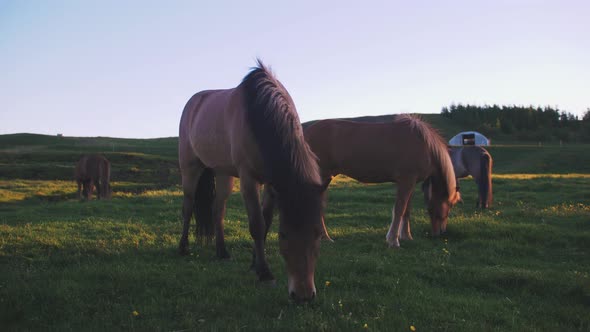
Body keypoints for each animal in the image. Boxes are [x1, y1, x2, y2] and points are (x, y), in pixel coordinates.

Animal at [180, 60, 328, 304]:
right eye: (283, 235)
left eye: (317, 234)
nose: (303, 296)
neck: (259, 114)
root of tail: (194, 102)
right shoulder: (249, 179)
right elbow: (257, 225)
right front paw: (265, 273)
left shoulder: (270, 184)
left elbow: (265, 222)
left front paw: (255, 263)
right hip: (190, 168)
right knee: (188, 206)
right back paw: (183, 248)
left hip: (223, 173)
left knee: (217, 210)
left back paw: (222, 252)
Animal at [264, 115, 462, 248]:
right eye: (449, 206)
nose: (439, 233)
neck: (423, 144)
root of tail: (304, 133)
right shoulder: (406, 180)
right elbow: (399, 210)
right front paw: (393, 240)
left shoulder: (410, 183)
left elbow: (406, 211)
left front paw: (406, 236)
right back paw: (325, 237)